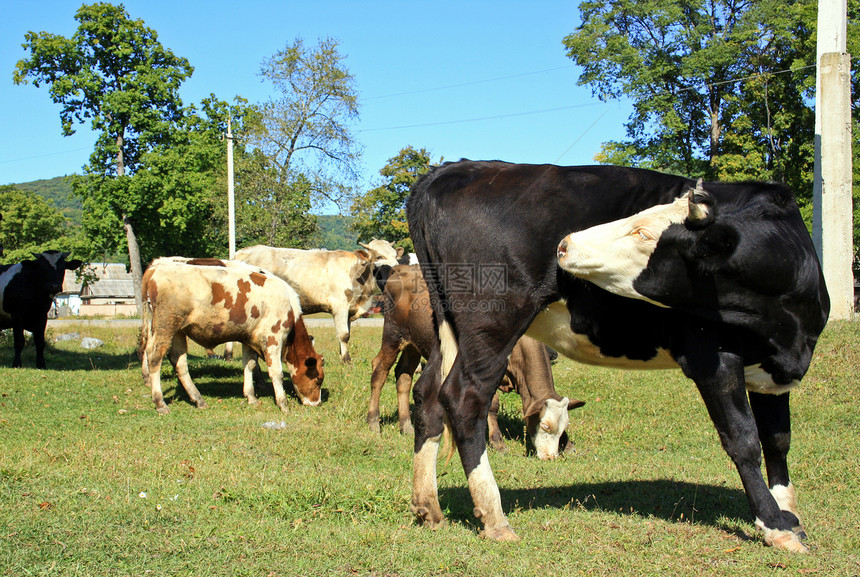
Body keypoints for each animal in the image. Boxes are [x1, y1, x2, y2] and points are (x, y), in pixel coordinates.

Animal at [141, 258, 322, 414]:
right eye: (318, 379)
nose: (317, 403)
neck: (289, 306)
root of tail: (155, 268)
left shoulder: (249, 339)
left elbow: (249, 365)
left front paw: (251, 397)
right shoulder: (273, 338)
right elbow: (276, 372)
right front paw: (283, 404)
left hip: (178, 330)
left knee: (179, 361)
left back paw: (198, 399)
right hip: (166, 325)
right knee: (154, 357)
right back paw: (160, 403)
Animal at [235, 238, 404, 360]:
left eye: (396, 256)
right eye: (379, 256)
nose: (397, 270)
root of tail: (245, 251)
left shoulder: (349, 309)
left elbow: (345, 333)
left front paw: (341, 356)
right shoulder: (340, 306)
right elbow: (344, 334)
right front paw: (346, 360)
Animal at [366, 266, 580, 460]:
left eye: (563, 426)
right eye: (545, 425)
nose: (550, 457)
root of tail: (401, 270)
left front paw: (568, 445)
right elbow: (492, 405)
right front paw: (497, 441)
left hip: (413, 344)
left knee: (403, 376)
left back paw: (406, 425)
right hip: (393, 336)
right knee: (379, 372)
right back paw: (374, 422)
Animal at [406, 160, 828, 552]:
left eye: (642, 231)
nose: (565, 245)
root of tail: (455, 169)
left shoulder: (775, 374)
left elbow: (778, 440)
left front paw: (790, 515)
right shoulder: (712, 355)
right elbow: (744, 439)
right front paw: (775, 524)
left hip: (449, 326)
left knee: (428, 394)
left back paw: (428, 505)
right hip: (493, 322)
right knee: (464, 398)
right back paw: (494, 518)